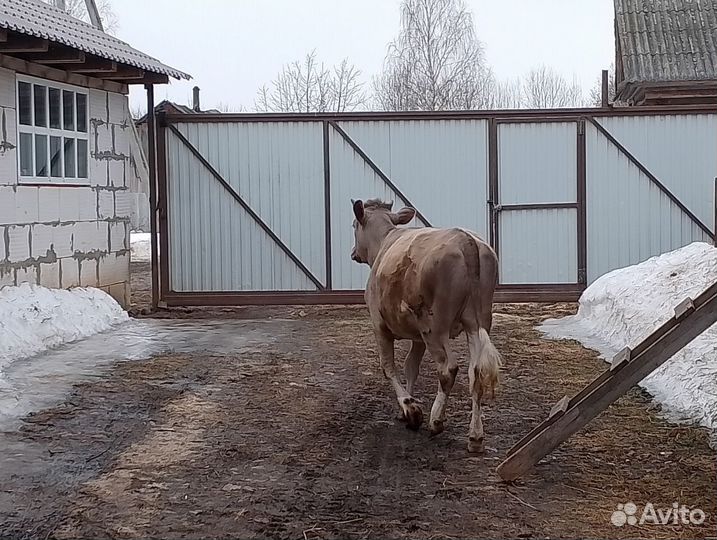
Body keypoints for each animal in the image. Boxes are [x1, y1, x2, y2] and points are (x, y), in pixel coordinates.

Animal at [350, 198, 501, 453]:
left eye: (353, 226)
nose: (353, 253)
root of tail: (465, 239)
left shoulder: (379, 325)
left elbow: (389, 367)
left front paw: (410, 409)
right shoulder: (417, 337)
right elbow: (411, 366)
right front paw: (405, 409)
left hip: (435, 326)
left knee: (448, 368)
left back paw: (436, 420)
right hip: (477, 321)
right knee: (476, 372)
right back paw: (475, 437)